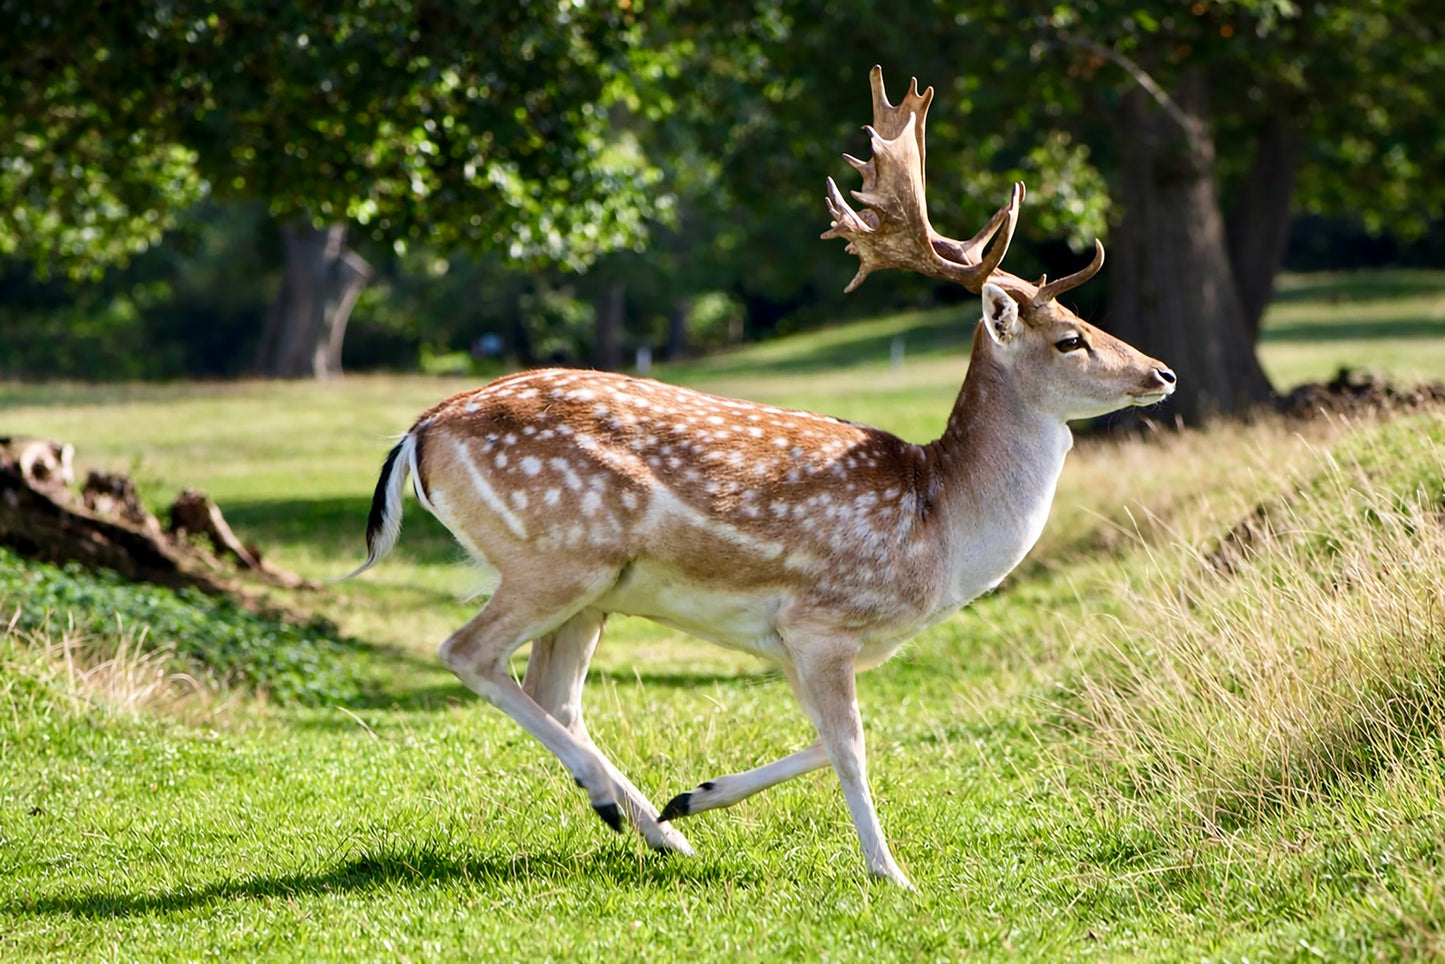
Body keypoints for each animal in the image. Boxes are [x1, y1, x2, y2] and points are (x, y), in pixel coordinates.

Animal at [348, 66, 1175, 888]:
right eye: (1068, 338)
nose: (1162, 373)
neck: (938, 529)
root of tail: (419, 432)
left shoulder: (795, 642)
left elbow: (829, 740)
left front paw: (695, 796)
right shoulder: (821, 619)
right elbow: (851, 744)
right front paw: (889, 873)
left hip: (592, 587)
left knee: (551, 690)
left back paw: (658, 830)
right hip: (554, 555)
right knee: (466, 652)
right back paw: (612, 802)